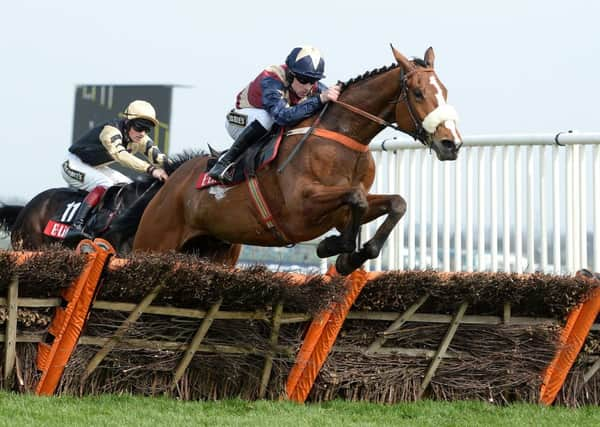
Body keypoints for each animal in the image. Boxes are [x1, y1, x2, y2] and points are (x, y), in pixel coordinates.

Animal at [130, 46, 460, 274]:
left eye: (444, 91)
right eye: (417, 93)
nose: (451, 143)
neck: (342, 138)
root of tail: (169, 180)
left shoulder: (340, 211)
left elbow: (395, 203)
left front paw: (352, 255)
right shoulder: (300, 209)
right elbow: (356, 197)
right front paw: (335, 247)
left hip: (218, 250)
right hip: (153, 242)